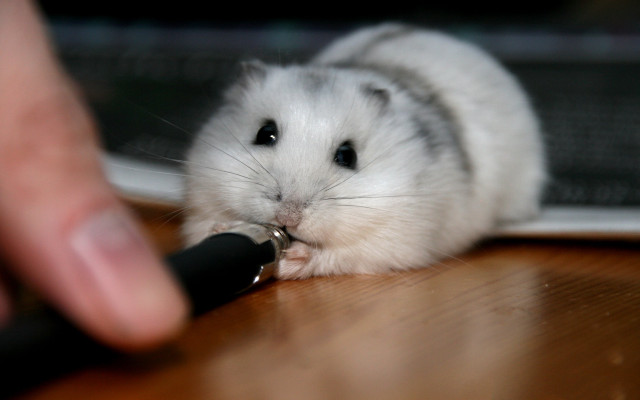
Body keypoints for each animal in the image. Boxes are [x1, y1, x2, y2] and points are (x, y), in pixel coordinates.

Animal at [182, 23, 546, 279]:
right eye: (264, 133)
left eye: (348, 156)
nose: (288, 217)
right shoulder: (199, 203)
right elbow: (204, 227)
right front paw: (222, 228)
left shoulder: (394, 237)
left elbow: (342, 253)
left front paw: (293, 261)